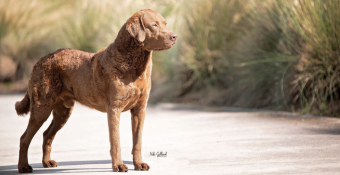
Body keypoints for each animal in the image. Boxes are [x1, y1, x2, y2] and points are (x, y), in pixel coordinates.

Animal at [14, 9, 177, 172]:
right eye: (154, 25)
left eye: (165, 23)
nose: (174, 36)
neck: (134, 64)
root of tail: (40, 60)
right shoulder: (114, 108)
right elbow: (115, 140)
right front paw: (118, 165)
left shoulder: (140, 109)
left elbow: (137, 141)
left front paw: (139, 164)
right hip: (42, 106)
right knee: (24, 138)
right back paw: (23, 167)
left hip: (63, 111)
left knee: (46, 134)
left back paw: (47, 162)